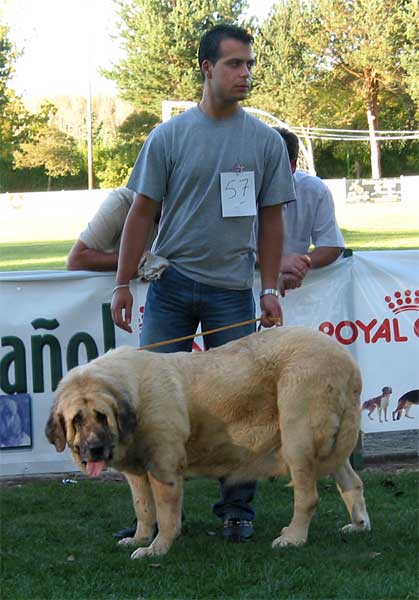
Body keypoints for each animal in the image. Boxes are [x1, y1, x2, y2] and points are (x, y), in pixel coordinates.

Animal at [46, 328, 370, 556]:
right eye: (77, 420)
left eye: (101, 416)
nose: (94, 449)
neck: (133, 397)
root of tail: (348, 361)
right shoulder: (137, 473)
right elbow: (144, 509)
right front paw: (139, 538)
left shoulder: (163, 469)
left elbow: (165, 514)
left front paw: (156, 548)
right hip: (330, 445)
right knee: (352, 483)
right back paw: (358, 526)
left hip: (298, 439)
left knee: (308, 497)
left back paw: (292, 538)